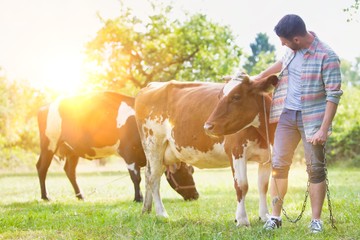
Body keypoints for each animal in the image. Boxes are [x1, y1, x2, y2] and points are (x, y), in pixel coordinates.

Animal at [36, 92, 198, 202]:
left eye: (192, 170)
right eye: (185, 173)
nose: (196, 195)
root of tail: (45, 106)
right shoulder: (128, 152)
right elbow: (136, 177)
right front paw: (138, 198)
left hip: (72, 150)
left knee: (70, 171)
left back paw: (80, 195)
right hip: (49, 143)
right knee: (42, 167)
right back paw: (45, 196)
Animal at [135, 76, 278, 226]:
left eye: (236, 96)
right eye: (219, 97)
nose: (208, 126)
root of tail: (151, 86)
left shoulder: (267, 157)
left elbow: (263, 186)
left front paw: (264, 216)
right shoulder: (237, 151)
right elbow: (242, 186)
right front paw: (242, 220)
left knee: (148, 175)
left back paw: (146, 209)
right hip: (153, 146)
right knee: (154, 179)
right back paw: (161, 213)